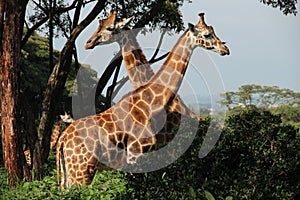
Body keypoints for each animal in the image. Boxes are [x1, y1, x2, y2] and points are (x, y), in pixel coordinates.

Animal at [56, 12, 230, 189]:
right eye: (207, 34)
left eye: (109, 27)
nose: (225, 49)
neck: (152, 99)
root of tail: (62, 140)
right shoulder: (137, 154)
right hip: (81, 171)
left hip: (73, 172)